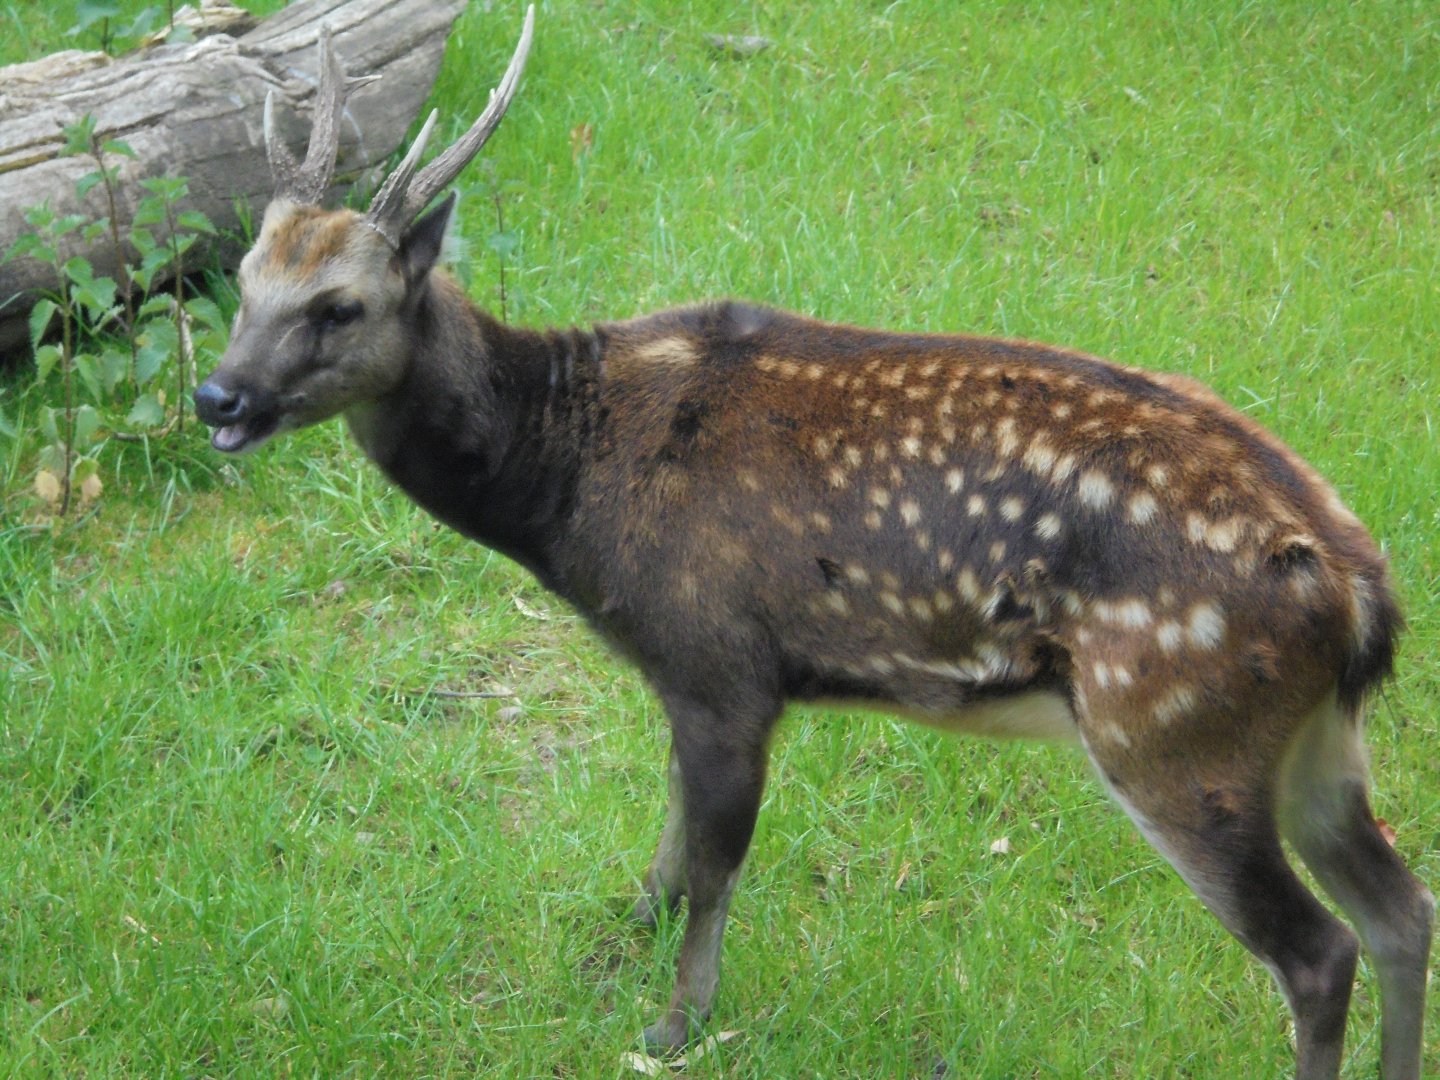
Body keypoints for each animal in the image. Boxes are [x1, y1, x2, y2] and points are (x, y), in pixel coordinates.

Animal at [193, 9, 1432, 1076]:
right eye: (244, 281)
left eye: (340, 306)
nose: (217, 397)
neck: (573, 483)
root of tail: (1362, 596)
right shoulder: (684, 674)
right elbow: (671, 847)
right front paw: (614, 949)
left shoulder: (722, 661)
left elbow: (712, 868)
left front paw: (672, 1029)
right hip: (1313, 744)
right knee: (1401, 910)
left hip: (1176, 731)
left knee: (1319, 952)